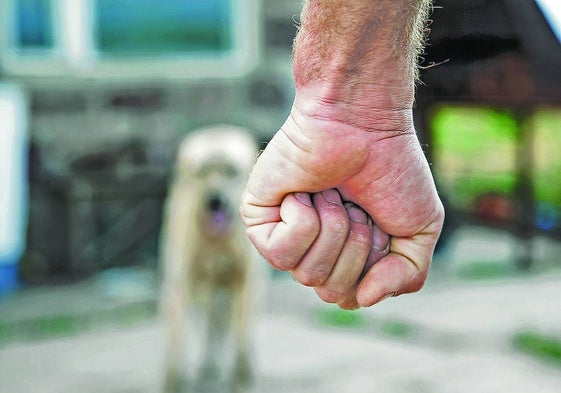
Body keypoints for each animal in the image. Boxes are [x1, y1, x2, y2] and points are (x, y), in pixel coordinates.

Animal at [158, 125, 262, 392]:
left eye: (229, 172)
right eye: (204, 173)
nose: (214, 201)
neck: (216, 243)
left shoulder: (243, 282)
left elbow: (240, 335)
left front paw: (241, 378)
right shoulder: (180, 283)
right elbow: (176, 340)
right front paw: (174, 382)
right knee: (209, 323)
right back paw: (208, 368)